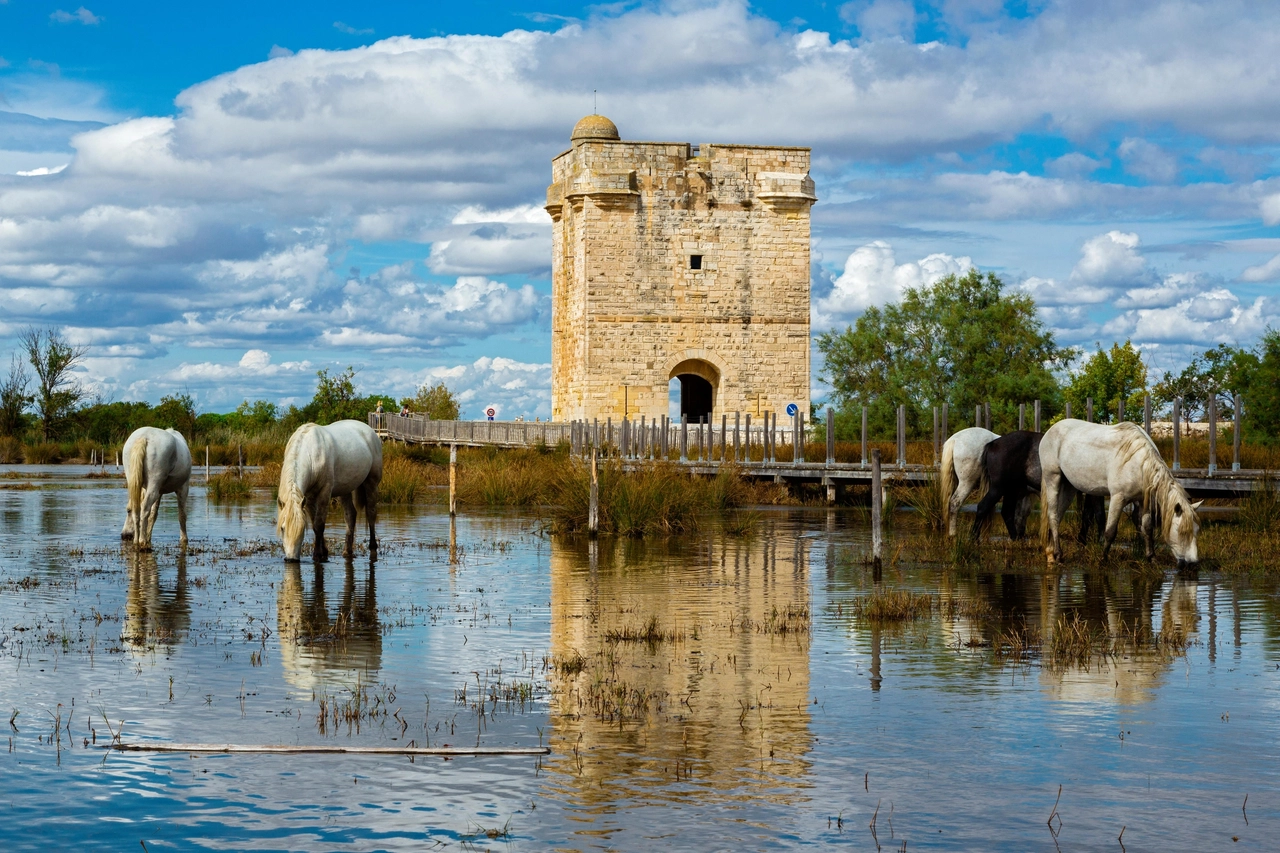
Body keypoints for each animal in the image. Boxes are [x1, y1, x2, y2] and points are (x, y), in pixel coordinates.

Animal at [277, 417, 381, 558]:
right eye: (282, 528)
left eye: (302, 529)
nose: (291, 559)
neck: (312, 454)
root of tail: (370, 431)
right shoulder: (308, 497)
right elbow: (314, 523)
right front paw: (324, 551)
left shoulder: (324, 493)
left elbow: (319, 524)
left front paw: (317, 554)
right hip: (345, 489)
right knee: (350, 515)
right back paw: (347, 551)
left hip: (371, 482)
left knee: (371, 513)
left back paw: (373, 546)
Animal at [1039, 417, 1198, 563]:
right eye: (1182, 532)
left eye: (1196, 531)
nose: (1192, 563)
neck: (1138, 463)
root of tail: (1050, 431)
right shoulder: (1118, 498)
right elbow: (1110, 531)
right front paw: (1103, 559)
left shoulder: (1143, 500)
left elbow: (1147, 528)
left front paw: (1151, 557)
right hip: (1053, 478)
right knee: (1053, 515)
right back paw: (1058, 554)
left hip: (1069, 487)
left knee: (1058, 515)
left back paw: (1050, 553)